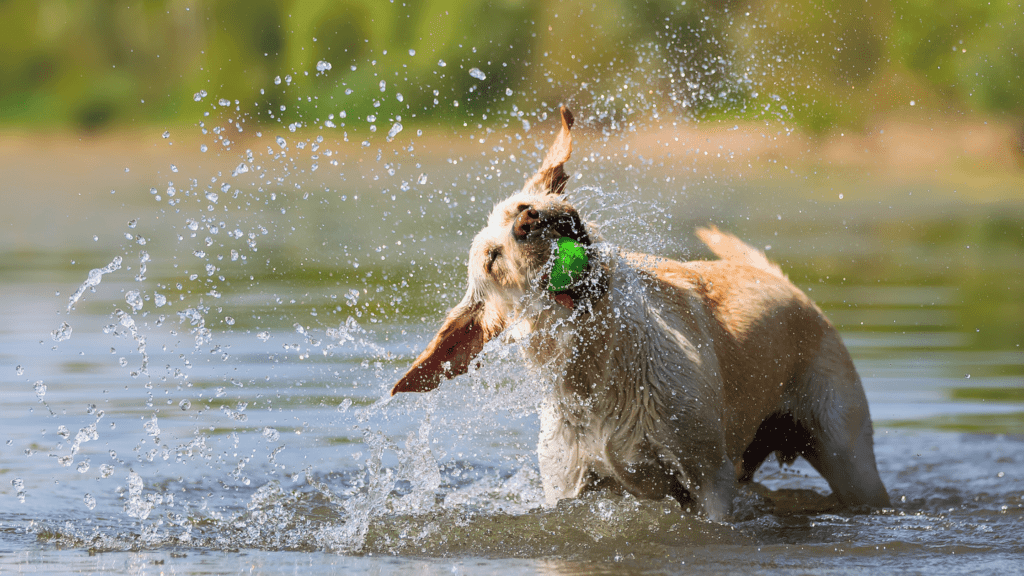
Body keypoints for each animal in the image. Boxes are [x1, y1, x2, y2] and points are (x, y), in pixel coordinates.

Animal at [391, 105, 888, 518]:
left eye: (520, 206)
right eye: (492, 259)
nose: (531, 220)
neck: (600, 367)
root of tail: (788, 286)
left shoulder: (709, 479)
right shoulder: (568, 484)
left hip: (848, 455)